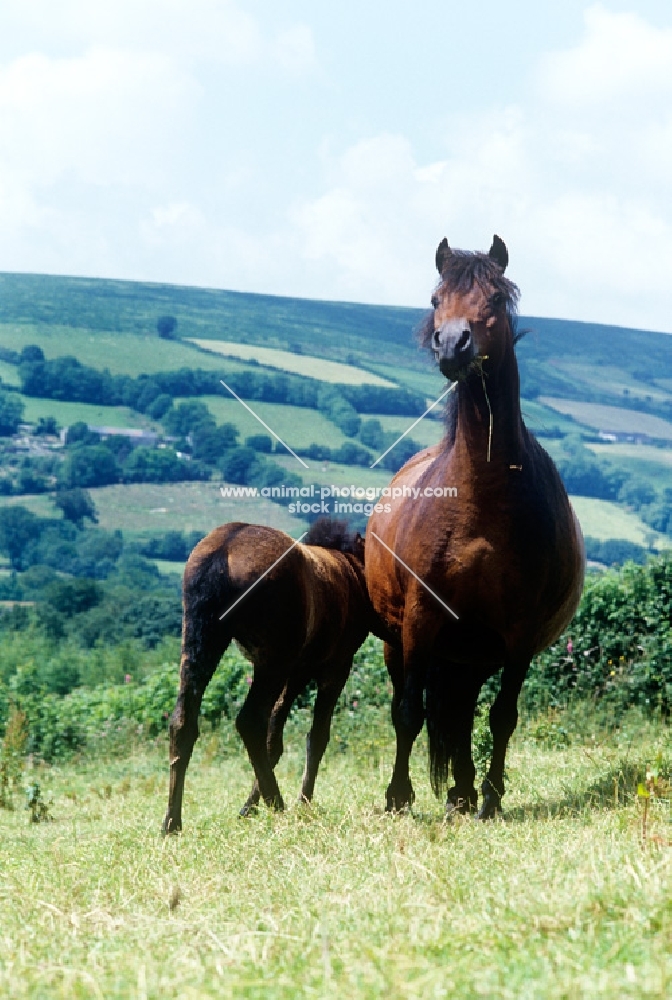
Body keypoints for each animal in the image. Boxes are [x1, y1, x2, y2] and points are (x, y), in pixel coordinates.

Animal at [163, 520, 372, 832]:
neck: (352, 568)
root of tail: (222, 552)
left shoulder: (298, 670)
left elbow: (276, 738)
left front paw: (249, 807)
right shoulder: (334, 667)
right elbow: (316, 737)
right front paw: (302, 801)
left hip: (201, 640)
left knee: (183, 721)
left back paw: (171, 821)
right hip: (272, 660)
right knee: (250, 721)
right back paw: (277, 803)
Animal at [364, 234, 584, 820]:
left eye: (496, 297)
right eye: (436, 297)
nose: (453, 344)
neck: (479, 499)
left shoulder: (518, 634)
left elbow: (501, 717)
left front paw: (490, 794)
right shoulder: (419, 622)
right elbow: (407, 714)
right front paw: (398, 797)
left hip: (472, 652)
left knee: (462, 714)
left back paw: (464, 792)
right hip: (407, 644)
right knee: (427, 708)